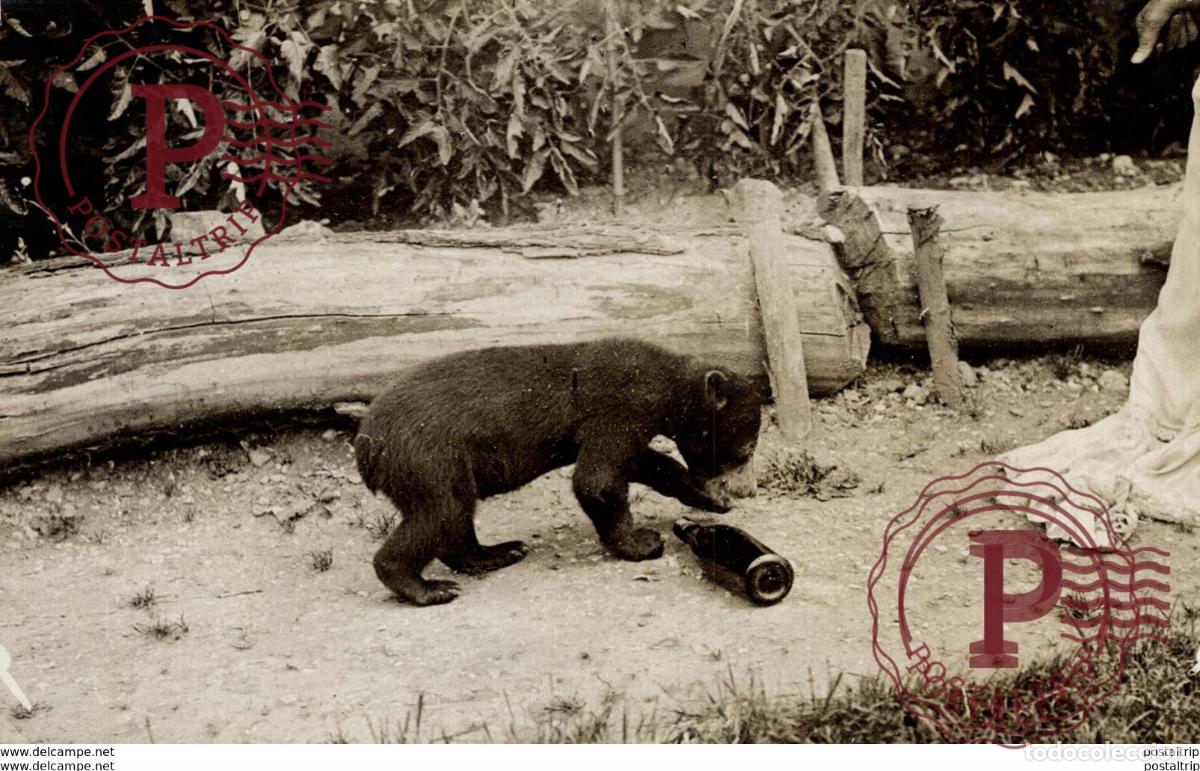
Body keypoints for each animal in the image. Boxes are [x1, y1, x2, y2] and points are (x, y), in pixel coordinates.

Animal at [354, 337, 765, 606]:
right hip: (429, 455)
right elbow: (598, 479)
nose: (748, 490)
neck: (666, 384)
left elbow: (643, 463)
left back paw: (500, 551)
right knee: (440, 512)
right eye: (745, 449)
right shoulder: (620, 408)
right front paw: (642, 542)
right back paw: (429, 587)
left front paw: (708, 497)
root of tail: (367, 445)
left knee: (456, 515)